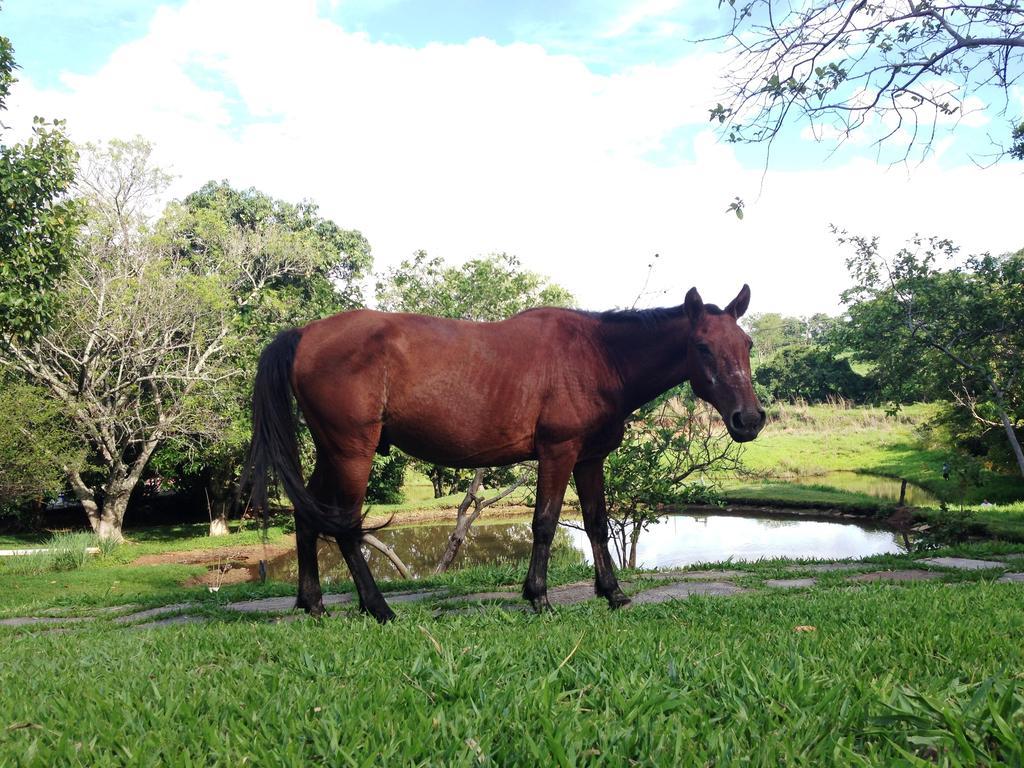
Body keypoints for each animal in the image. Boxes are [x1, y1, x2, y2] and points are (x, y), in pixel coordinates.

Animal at [247, 286, 761, 622]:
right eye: (702, 346)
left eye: (747, 344)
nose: (749, 419)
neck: (599, 356)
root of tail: (305, 334)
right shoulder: (558, 452)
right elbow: (545, 522)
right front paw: (538, 597)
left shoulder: (589, 458)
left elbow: (596, 522)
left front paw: (612, 593)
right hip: (353, 450)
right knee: (347, 525)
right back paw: (379, 608)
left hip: (330, 451)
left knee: (307, 514)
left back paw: (313, 602)